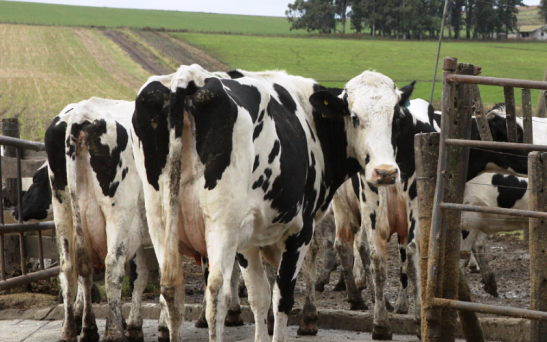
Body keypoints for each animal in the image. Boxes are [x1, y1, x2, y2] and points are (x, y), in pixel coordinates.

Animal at [131, 65, 408, 342]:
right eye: (354, 117)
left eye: (396, 118)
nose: (385, 172)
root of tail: (191, 77)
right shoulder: (299, 232)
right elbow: (282, 296)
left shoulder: (249, 241)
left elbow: (259, 297)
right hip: (221, 224)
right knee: (217, 293)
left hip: (162, 224)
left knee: (171, 291)